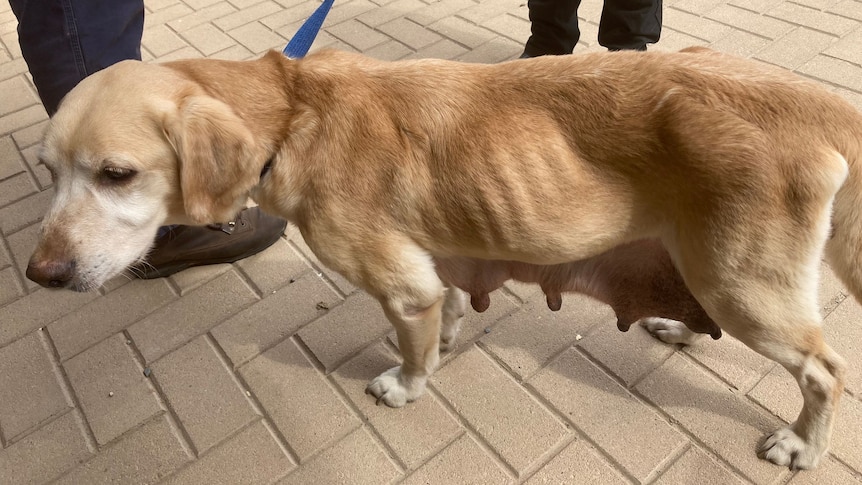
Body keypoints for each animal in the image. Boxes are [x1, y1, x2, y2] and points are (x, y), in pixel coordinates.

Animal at [25, 46, 862, 468]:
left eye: (117, 173)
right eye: (51, 169)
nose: (40, 275)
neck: (293, 109)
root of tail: (821, 101)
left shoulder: (403, 287)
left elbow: (412, 348)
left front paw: (407, 383)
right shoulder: (437, 263)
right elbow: (451, 307)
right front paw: (448, 343)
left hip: (741, 283)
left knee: (825, 369)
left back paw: (803, 444)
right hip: (715, 273)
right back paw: (681, 330)